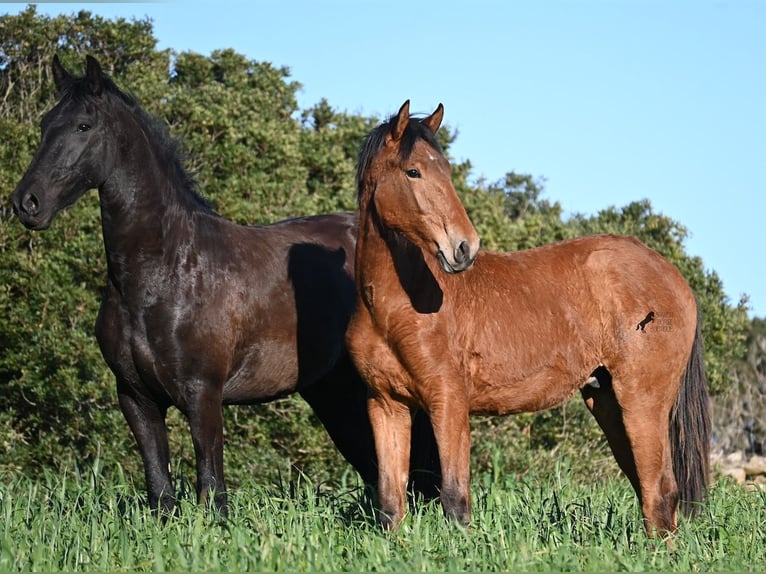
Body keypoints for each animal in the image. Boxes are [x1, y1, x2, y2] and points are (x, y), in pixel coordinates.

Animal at [10, 56, 440, 517]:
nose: (27, 202)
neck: (163, 273)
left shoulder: (203, 394)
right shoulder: (136, 398)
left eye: (84, 125)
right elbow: (160, 489)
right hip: (334, 391)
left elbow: (212, 487)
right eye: (45, 123)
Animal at [346, 100, 710, 537]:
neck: (395, 307)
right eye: (413, 171)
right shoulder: (386, 405)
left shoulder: (447, 402)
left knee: (660, 492)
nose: (464, 247)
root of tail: (673, 276)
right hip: (607, 401)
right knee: (649, 490)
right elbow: (389, 505)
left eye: (446, 170)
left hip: (642, 401)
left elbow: (455, 501)